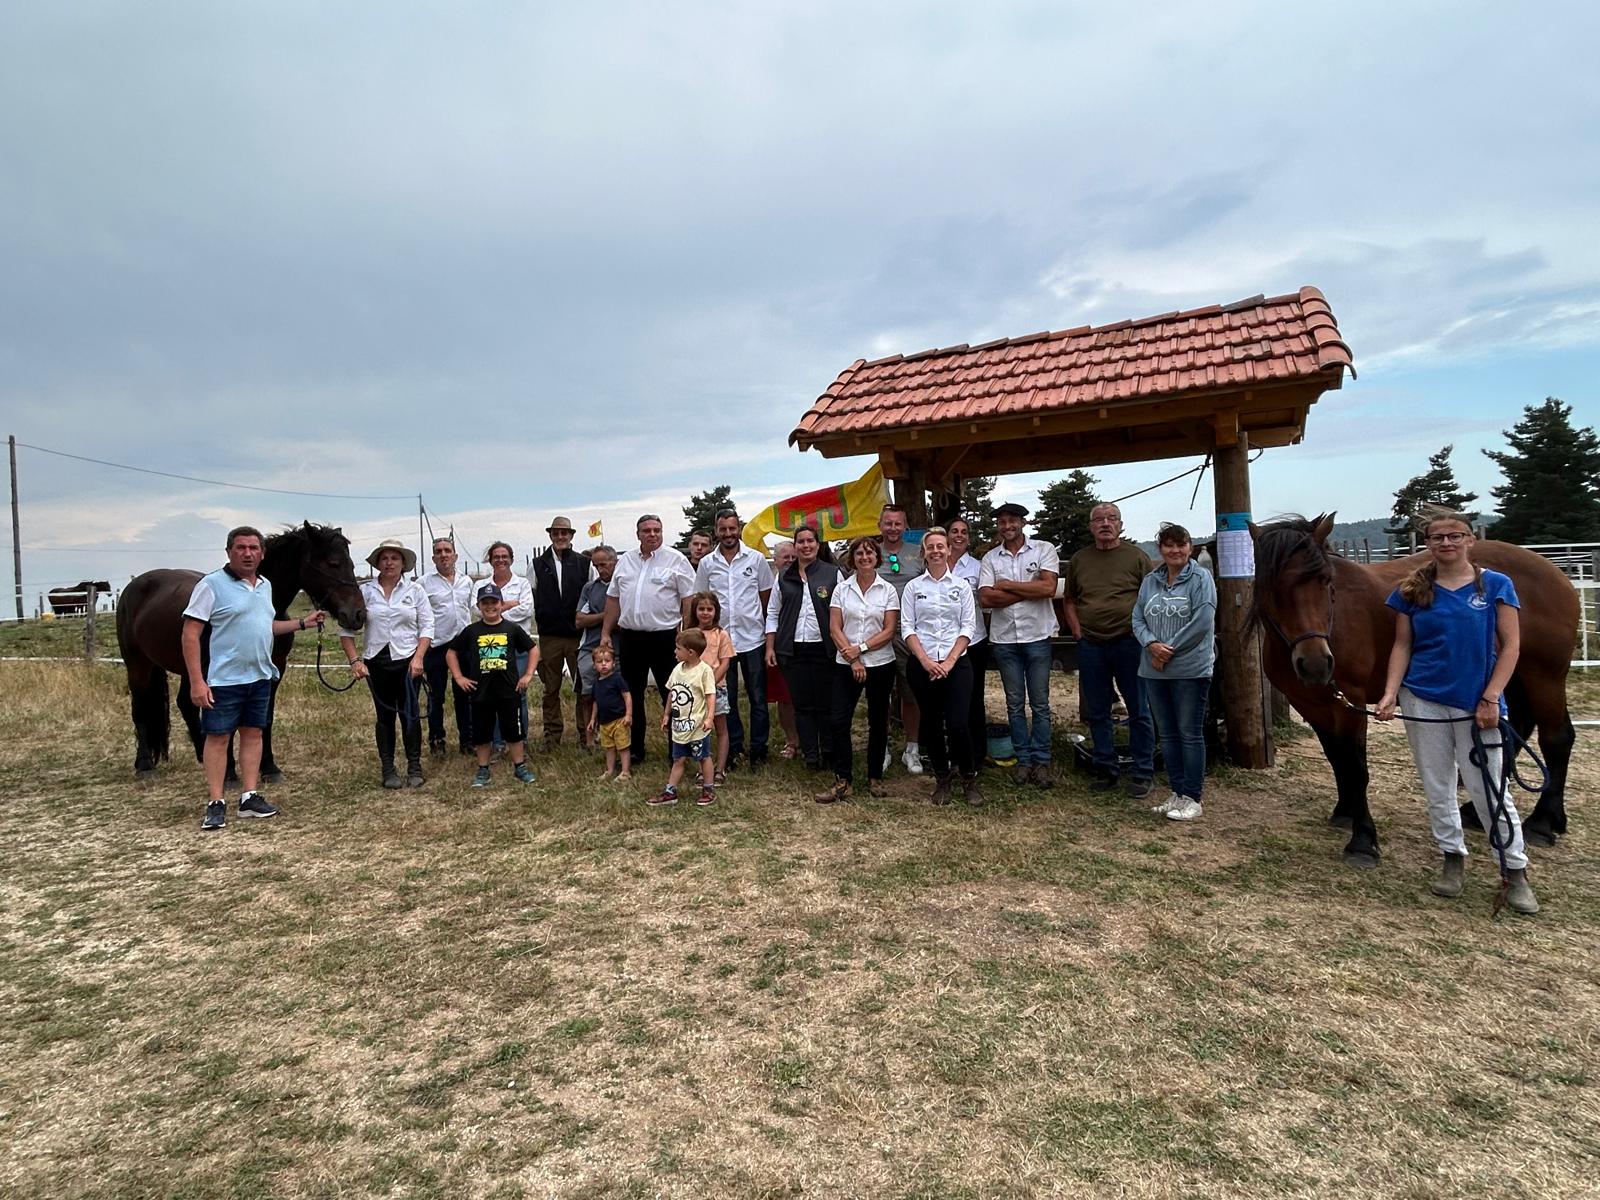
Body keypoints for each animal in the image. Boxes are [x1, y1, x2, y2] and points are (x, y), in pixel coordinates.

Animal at [118, 521, 368, 784]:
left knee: (185, 704)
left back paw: (202, 754)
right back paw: (145, 765)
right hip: (138, 664)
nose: (358, 615)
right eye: (332, 563)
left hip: (188, 669)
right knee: (140, 708)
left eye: (351, 565)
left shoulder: (275, 669)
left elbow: (266, 718)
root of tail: (132, 588)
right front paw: (228, 772)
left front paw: (269, 767)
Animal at [1248, 512, 1574, 870]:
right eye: (1273, 586)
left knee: (1556, 737)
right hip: (1511, 677)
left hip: (1544, 676)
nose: (1316, 664)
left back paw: (1542, 822)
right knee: (1515, 731)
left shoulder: (1350, 703)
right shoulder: (1313, 704)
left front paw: (1363, 840)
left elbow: (1356, 768)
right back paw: (1478, 813)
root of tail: (1555, 572)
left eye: (1325, 582)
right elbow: (1337, 758)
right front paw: (1345, 811)